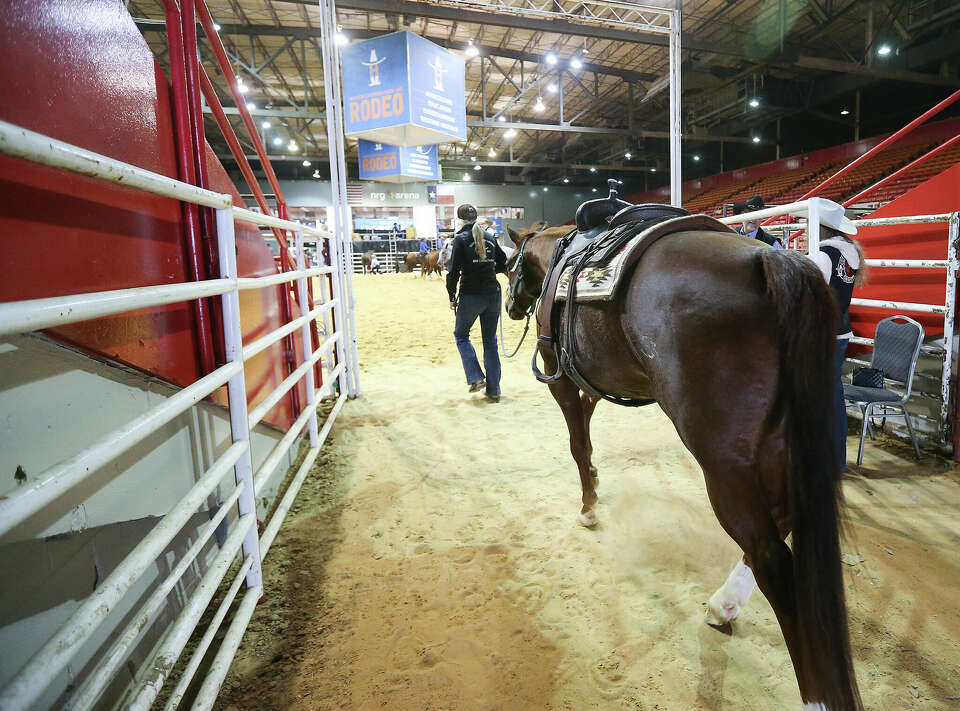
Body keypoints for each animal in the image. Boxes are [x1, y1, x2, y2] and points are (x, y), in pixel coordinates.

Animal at [502, 224, 864, 711]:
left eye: (509, 265)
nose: (510, 306)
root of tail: (772, 260)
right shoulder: (590, 381)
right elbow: (589, 427)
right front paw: (595, 480)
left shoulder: (558, 375)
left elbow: (577, 442)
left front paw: (588, 506)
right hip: (779, 442)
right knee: (782, 521)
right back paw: (724, 604)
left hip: (723, 463)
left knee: (771, 557)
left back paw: (814, 695)